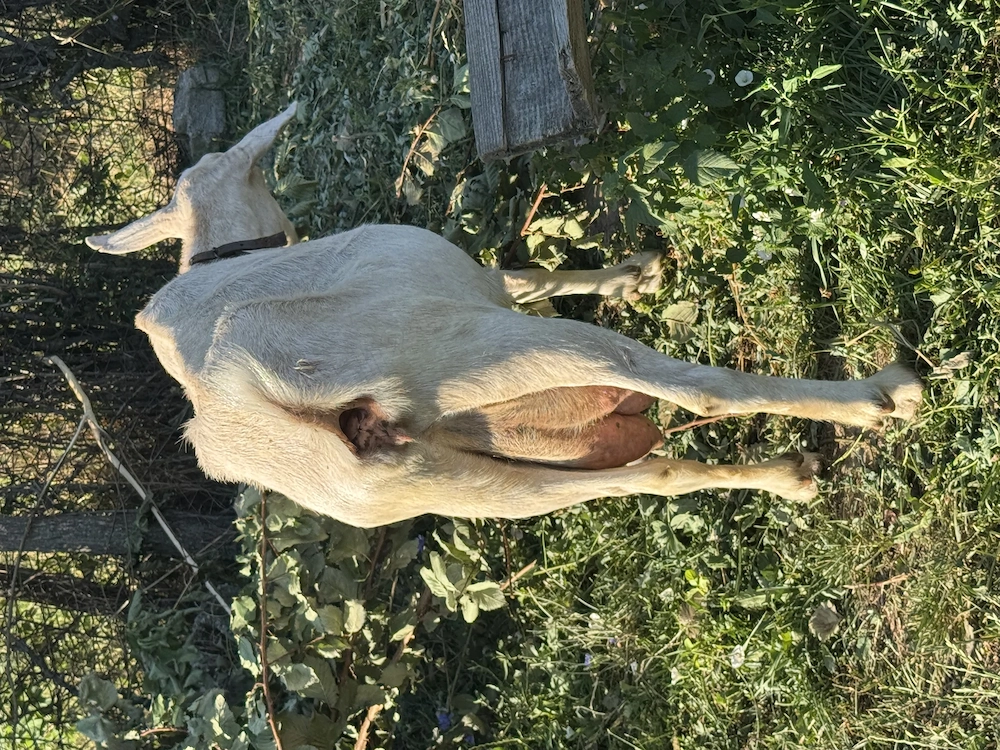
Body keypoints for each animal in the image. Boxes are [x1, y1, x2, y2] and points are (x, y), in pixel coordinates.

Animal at [87, 103, 922, 528]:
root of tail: (262, 402)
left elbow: (523, 274)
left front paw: (631, 274)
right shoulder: (472, 292)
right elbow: (519, 274)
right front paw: (634, 274)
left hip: (464, 487)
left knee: (644, 479)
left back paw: (790, 478)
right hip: (478, 347)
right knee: (687, 388)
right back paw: (878, 397)